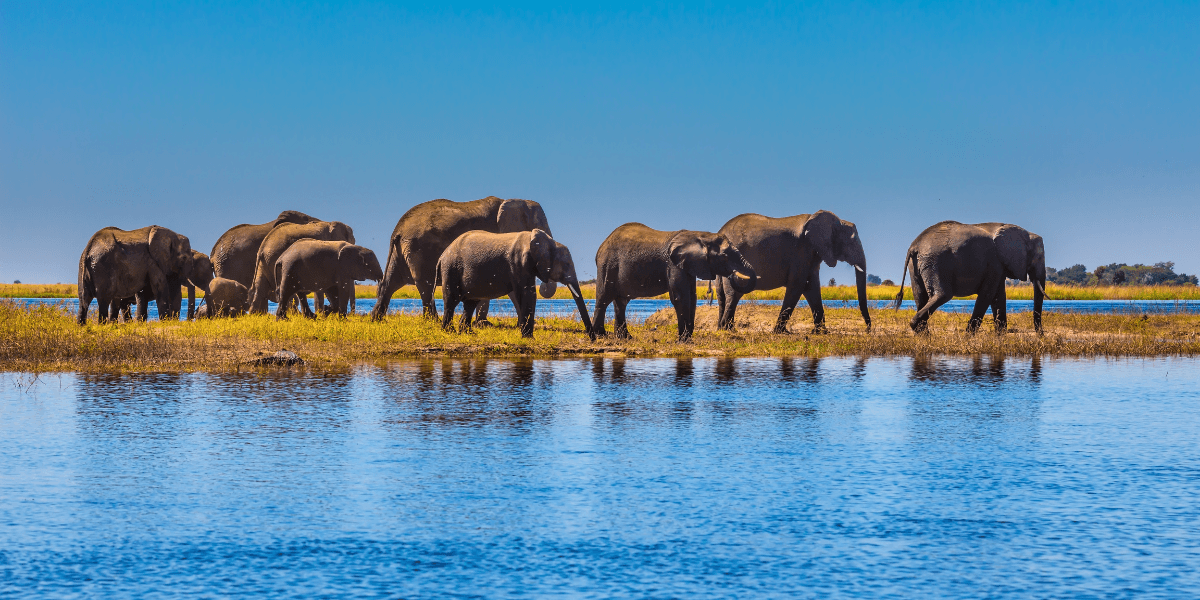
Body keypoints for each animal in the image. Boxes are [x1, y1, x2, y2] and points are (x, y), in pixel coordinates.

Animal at [370, 196, 553, 322]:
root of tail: (398, 230)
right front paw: (484, 324)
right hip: (418, 250)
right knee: (425, 284)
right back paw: (433, 321)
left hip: (401, 251)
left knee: (391, 283)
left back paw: (376, 319)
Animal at [435, 229, 595, 340]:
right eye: (566, 264)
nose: (592, 339)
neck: (547, 241)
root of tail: (442, 255)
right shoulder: (519, 263)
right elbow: (527, 293)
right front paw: (529, 338)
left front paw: (527, 337)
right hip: (451, 269)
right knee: (451, 301)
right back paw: (448, 332)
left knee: (470, 303)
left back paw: (468, 333)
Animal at [592, 223, 757, 342]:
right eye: (725, 256)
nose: (734, 274)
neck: (699, 235)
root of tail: (601, 246)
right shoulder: (673, 265)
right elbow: (681, 297)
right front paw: (684, 340)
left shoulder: (688, 266)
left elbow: (692, 297)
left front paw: (688, 339)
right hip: (608, 265)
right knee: (603, 298)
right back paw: (601, 335)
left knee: (621, 302)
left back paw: (625, 338)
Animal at [715, 210, 872, 334]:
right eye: (851, 242)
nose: (868, 330)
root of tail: (721, 231)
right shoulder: (802, 251)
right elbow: (798, 286)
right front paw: (780, 332)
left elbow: (812, 288)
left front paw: (820, 332)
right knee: (734, 295)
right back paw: (728, 329)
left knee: (722, 295)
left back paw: (721, 328)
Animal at [893, 221, 1045, 334]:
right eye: (1038, 257)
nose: (1041, 334)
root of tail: (914, 245)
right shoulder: (995, 262)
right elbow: (988, 294)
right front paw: (969, 335)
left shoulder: (998, 265)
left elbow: (999, 296)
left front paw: (1000, 335)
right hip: (936, 261)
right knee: (942, 294)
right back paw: (918, 328)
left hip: (917, 265)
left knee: (920, 296)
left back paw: (924, 334)